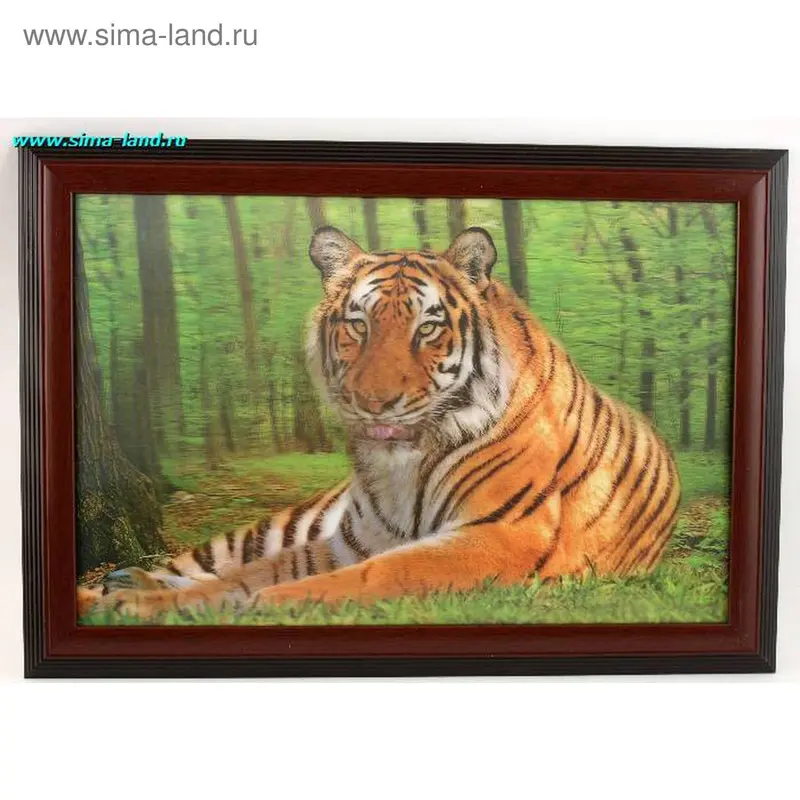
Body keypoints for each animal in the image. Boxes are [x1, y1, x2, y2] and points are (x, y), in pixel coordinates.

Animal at [78, 225, 681, 619]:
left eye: (427, 328)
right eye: (358, 325)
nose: (374, 403)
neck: (400, 468)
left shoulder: (501, 533)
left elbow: (380, 574)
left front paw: (265, 605)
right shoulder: (355, 539)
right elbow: (250, 574)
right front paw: (147, 603)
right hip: (267, 527)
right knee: (198, 561)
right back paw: (114, 583)